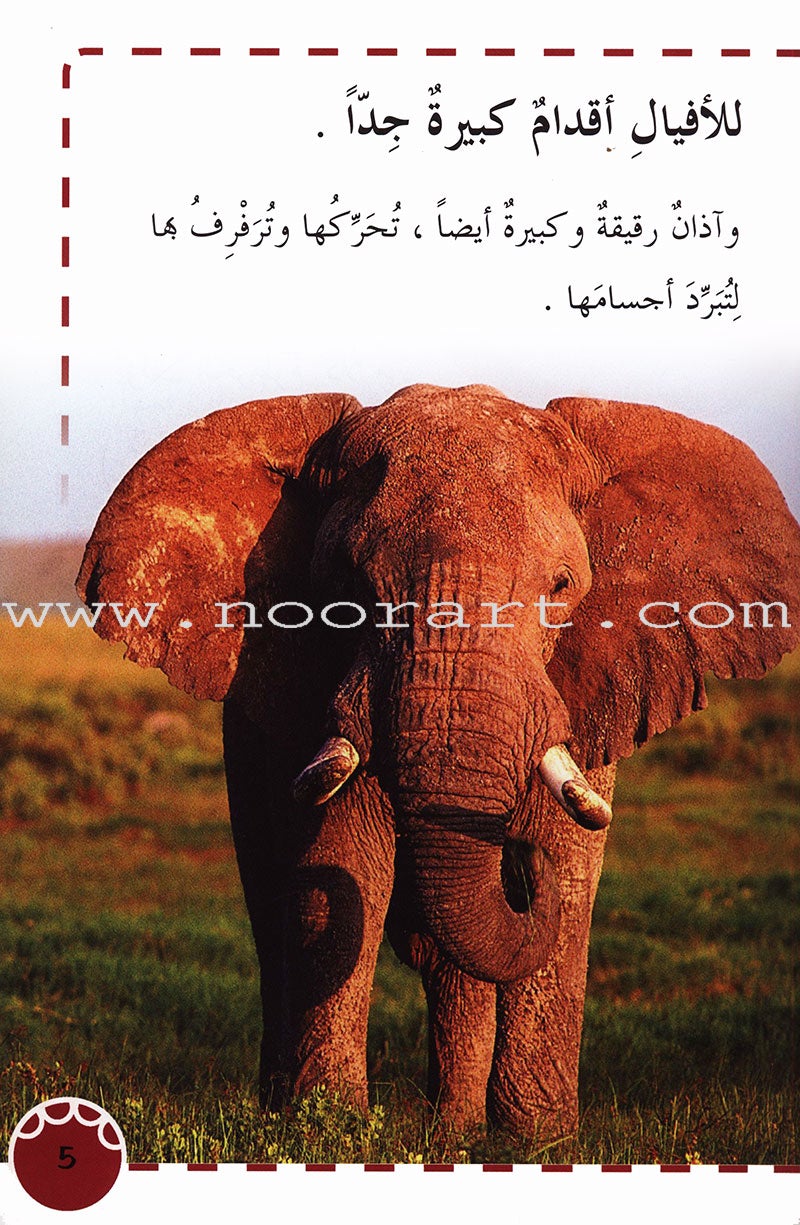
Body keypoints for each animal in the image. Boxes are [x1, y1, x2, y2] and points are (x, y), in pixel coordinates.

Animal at [76, 383, 800, 1138]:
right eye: (347, 592)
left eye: (561, 586)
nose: (521, 867)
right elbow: (344, 861)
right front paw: (330, 1129)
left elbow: (567, 869)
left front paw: (539, 1139)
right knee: (277, 903)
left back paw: (455, 1130)